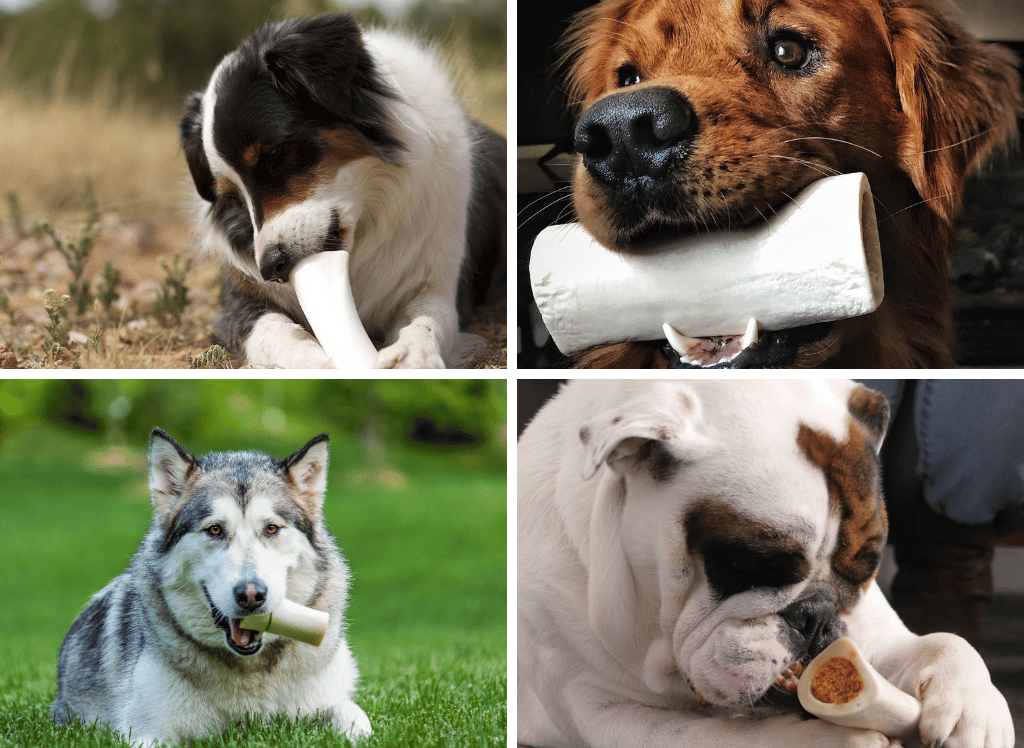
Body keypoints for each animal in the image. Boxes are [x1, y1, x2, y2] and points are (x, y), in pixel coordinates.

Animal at [51, 428, 372, 741]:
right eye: (215, 529)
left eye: (271, 529)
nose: (251, 595)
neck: (252, 671)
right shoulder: (146, 731)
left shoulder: (330, 698)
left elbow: (353, 715)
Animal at [183, 13, 507, 368]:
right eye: (233, 198)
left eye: (274, 156)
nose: (270, 268)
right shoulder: (238, 302)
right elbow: (271, 333)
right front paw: (319, 361)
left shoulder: (435, 283)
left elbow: (427, 322)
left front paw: (413, 356)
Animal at [520, 379, 1015, 745]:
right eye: (752, 564)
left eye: (866, 570)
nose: (817, 616)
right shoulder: (604, 712)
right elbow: (716, 735)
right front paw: (834, 740)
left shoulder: (877, 637)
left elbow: (945, 641)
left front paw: (975, 710)